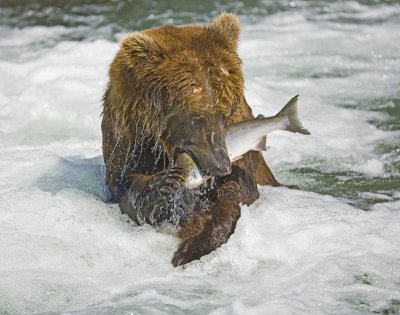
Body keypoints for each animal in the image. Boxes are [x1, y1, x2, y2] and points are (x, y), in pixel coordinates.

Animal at [101, 11, 280, 266]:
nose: (220, 165)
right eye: (195, 116)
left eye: (226, 112)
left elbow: (236, 192)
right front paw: (163, 182)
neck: (163, 145)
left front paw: (191, 248)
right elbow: (126, 189)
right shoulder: (129, 139)